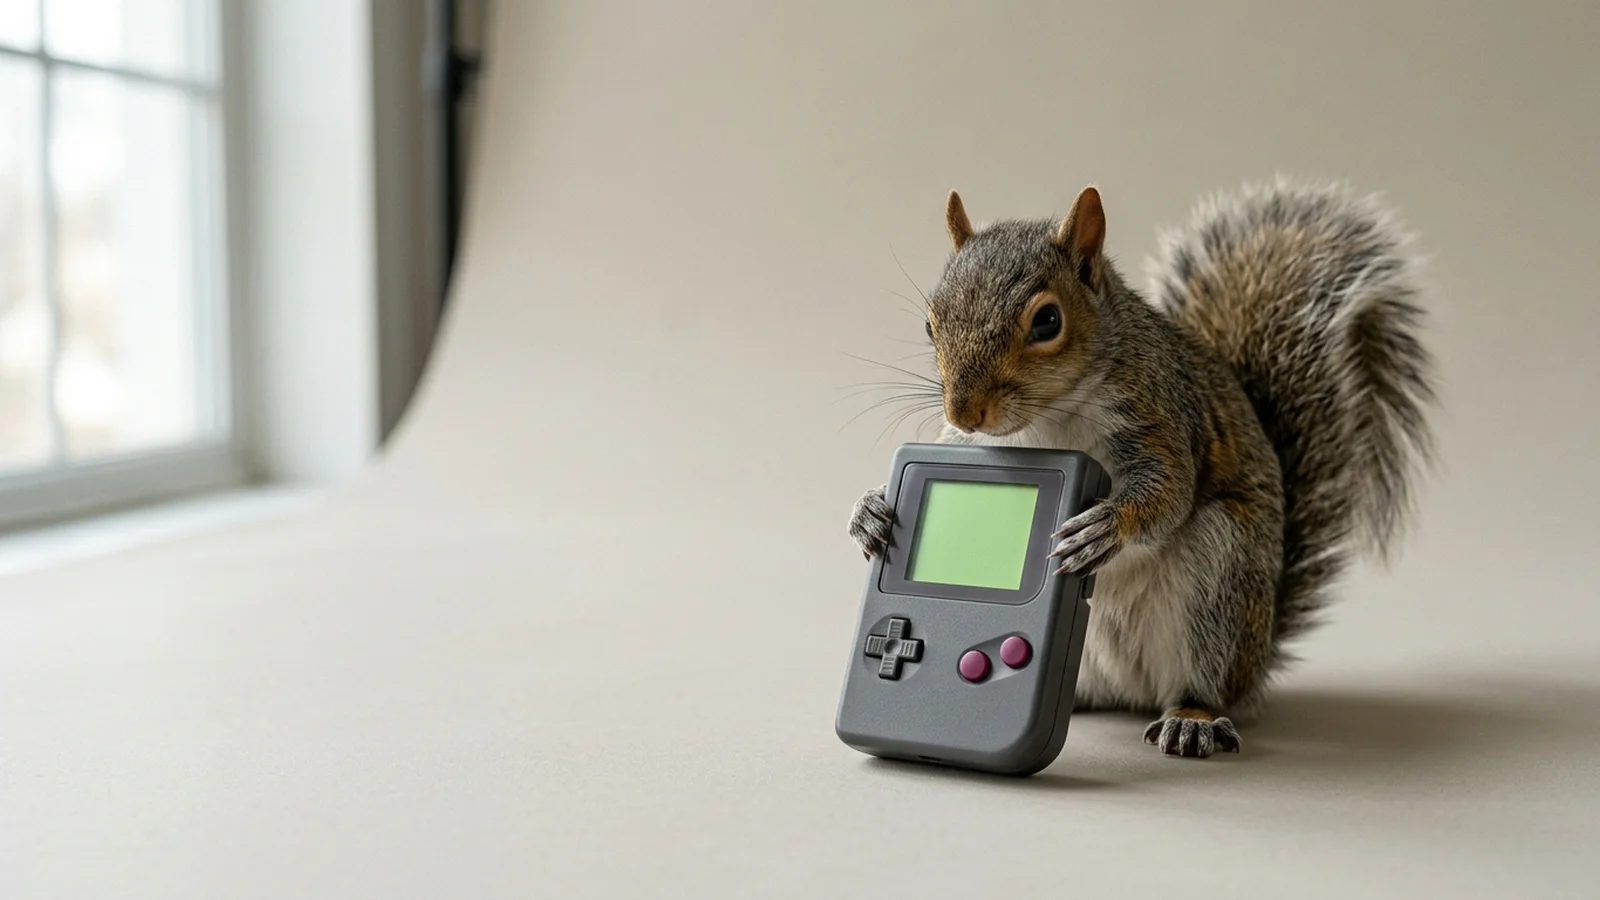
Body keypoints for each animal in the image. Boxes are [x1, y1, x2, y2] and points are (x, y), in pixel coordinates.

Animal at [848, 177, 1436, 758]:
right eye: (930, 324)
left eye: (1047, 321)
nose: (963, 412)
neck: (1048, 419)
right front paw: (870, 511)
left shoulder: (1159, 419)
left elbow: (1169, 492)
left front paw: (1107, 527)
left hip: (1220, 575)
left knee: (1203, 679)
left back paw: (1192, 720)